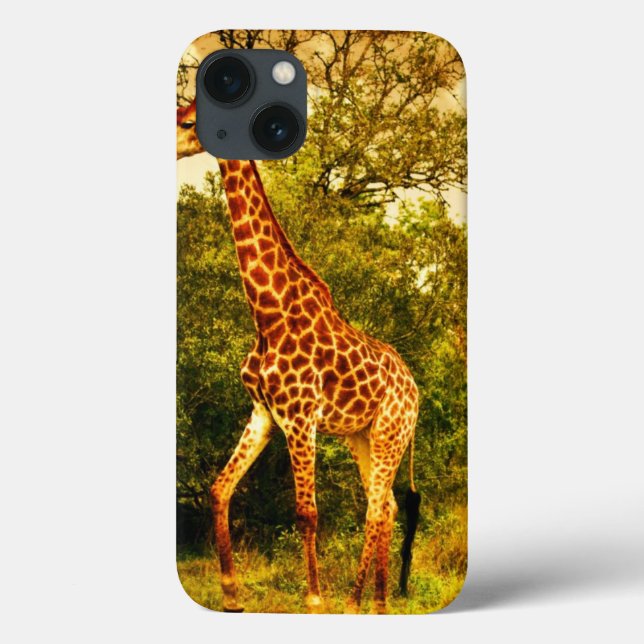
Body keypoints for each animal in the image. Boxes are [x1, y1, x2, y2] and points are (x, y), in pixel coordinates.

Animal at [177, 103, 421, 614]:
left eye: (188, 121)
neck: (269, 314)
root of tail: (416, 391)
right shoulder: (263, 413)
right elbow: (219, 489)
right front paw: (231, 594)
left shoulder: (299, 416)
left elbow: (307, 511)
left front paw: (313, 598)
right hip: (362, 436)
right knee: (385, 504)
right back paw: (377, 602)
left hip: (390, 433)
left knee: (375, 508)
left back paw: (353, 601)